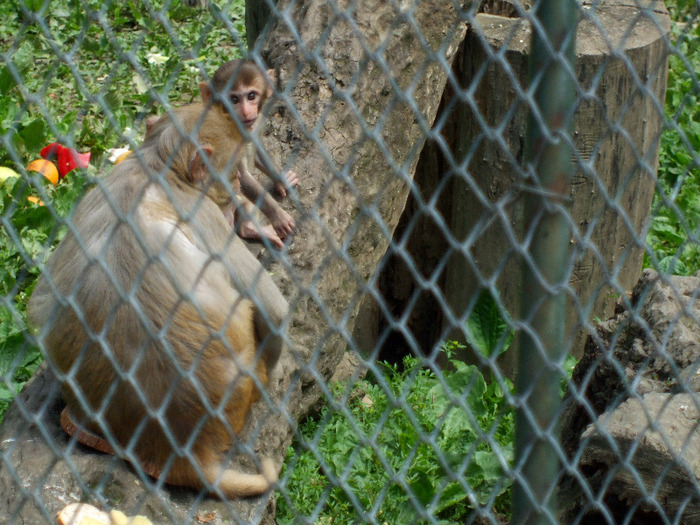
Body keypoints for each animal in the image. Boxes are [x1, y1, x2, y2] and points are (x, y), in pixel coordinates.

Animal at [28, 95, 288, 500]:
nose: (233, 189)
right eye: (230, 174)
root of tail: (184, 452)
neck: (159, 166)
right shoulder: (204, 212)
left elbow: (39, 300)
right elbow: (270, 306)